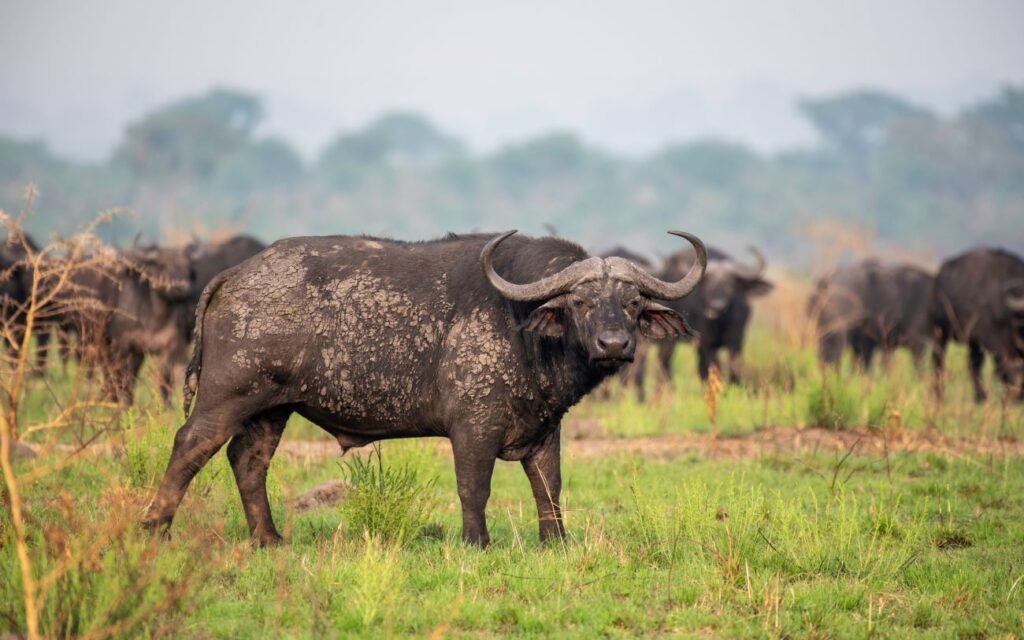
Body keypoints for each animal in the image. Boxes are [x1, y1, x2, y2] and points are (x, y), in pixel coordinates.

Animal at [143, 230, 706, 546]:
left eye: (632, 302)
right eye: (581, 302)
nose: (614, 344)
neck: (520, 325)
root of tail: (232, 277)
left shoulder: (546, 429)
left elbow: (549, 487)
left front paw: (557, 543)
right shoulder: (473, 427)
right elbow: (474, 487)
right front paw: (477, 544)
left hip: (271, 408)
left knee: (248, 460)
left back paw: (269, 539)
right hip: (226, 395)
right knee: (190, 445)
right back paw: (155, 529)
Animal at [930, 247, 1024, 402]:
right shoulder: (996, 344)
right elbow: (1005, 371)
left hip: (972, 342)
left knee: (973, 366)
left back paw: (980, 396)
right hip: (941, 332)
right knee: (939, 362)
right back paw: (939, 395)